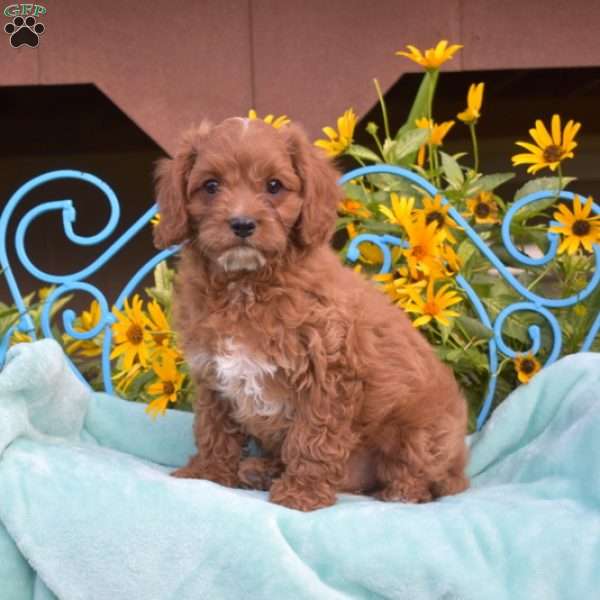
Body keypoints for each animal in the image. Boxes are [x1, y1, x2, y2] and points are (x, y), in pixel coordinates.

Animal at [151, 117, 468, 510]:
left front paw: (300, 493)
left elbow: (313, 439)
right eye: (210, 186)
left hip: (421, 431)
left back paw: (401, 491)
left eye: (274, 186)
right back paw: (261, 470)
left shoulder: (328, 375)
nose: (242, 224)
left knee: (427, 477)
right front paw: (207, 473)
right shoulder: (212, 374)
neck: (247, 285)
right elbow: (213, 428)